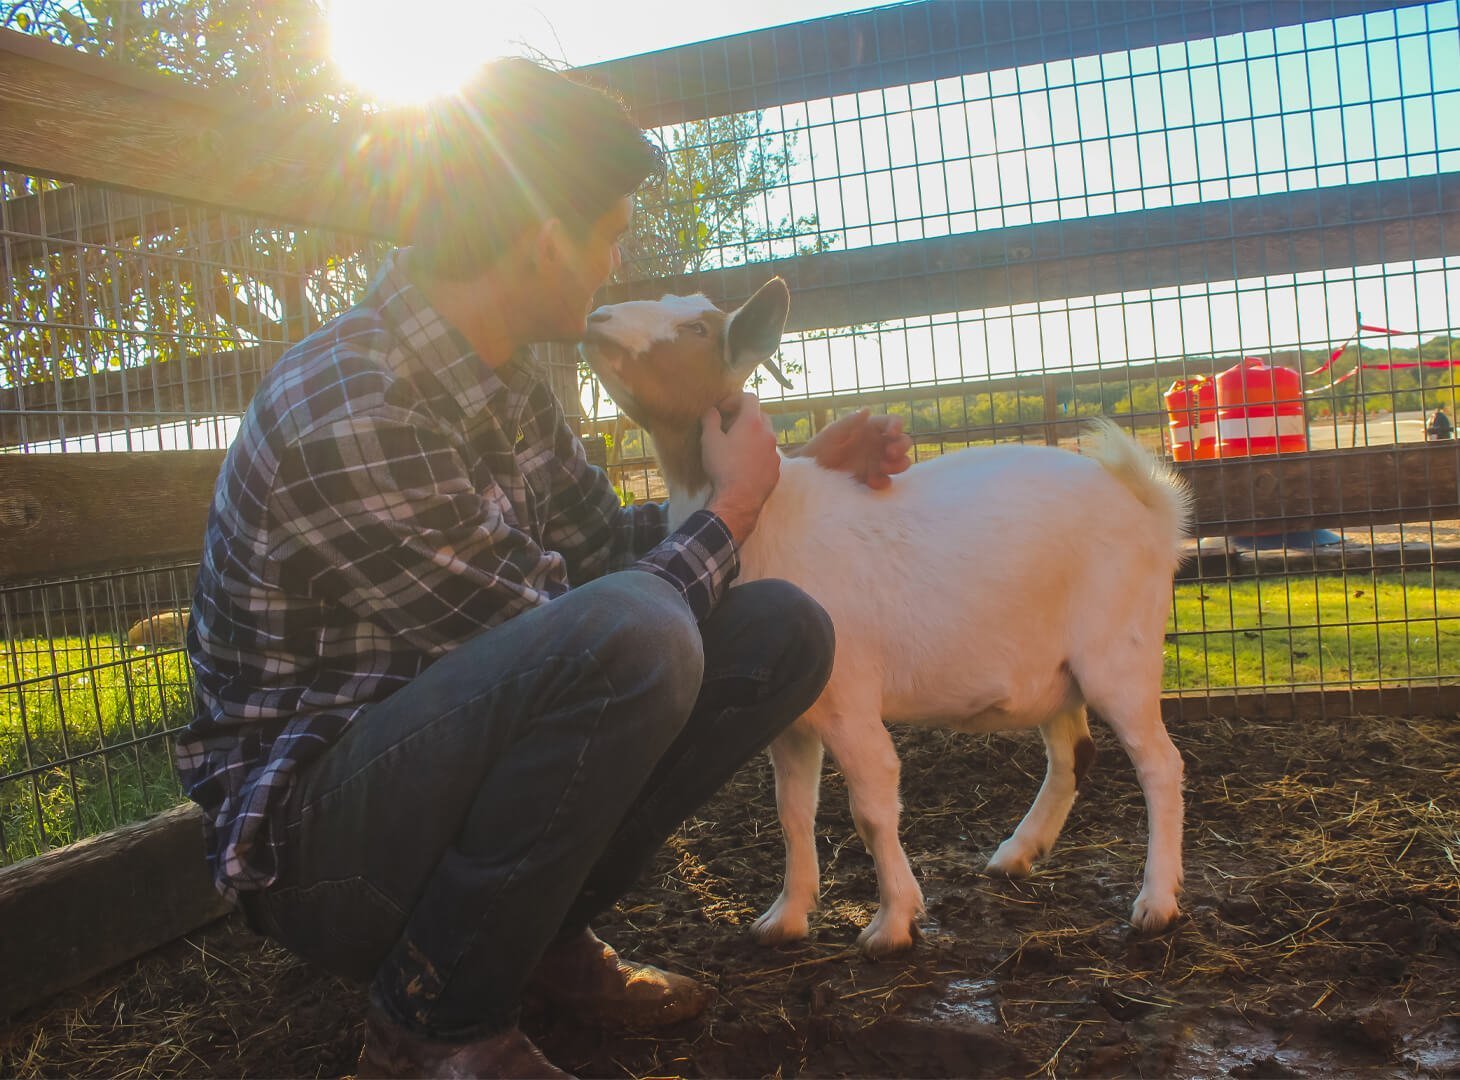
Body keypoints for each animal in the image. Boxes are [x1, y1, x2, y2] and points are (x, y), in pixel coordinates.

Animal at [575, 278, 1191, 951]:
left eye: (698, 330)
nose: (596, 318)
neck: (770, 517)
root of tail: (1148, 503)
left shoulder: (849, 696)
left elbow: (870, 808)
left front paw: (892, 923)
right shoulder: (795, 718)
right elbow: (792, 812)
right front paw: (785, 917)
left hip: (1119, 651)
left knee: (1160, 764)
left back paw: (1157, 902)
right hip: (1055, 670)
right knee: (1072, 753)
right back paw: (1016, 854)